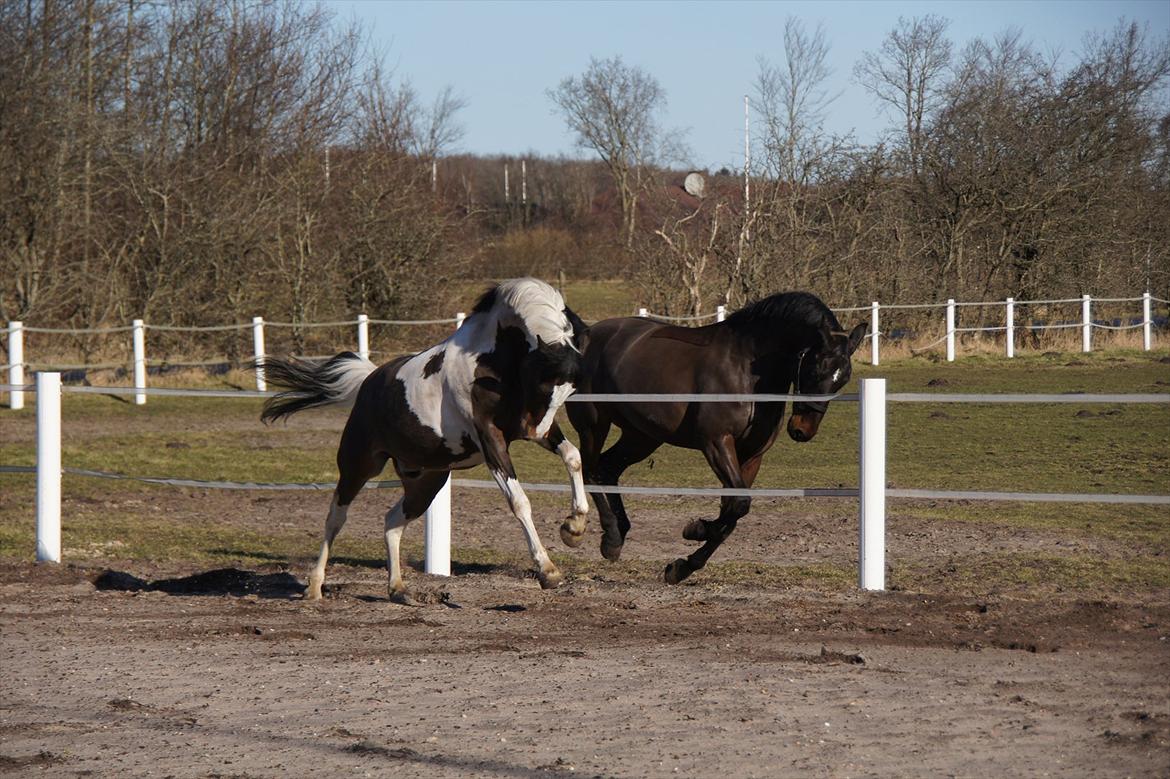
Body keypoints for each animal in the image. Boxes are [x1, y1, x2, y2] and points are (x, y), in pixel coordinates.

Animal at [259, 279, 589, 598]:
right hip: (358, 466)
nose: (534, 431)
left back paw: (398, 589)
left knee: (392, 521)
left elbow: (573, 456)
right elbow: (519, 501)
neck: (492, 360)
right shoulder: (491, 439)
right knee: (335, 518)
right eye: (542, 383)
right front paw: (548, 571)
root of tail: (368, 381)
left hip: (426, 481)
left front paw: (574, 528)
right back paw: (314, 587)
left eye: (569, 391)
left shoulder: (533, 428)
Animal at [561, 291, 865, 582]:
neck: (745, 369)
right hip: (593, 425)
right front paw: (696, 530)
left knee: (607, 469)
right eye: (814, 369)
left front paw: (683, 565)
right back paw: (597, 534)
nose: (802, 430)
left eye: (843, 379)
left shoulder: (751, 455)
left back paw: (618, 533)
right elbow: (738, 504)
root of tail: (586, 335)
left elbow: (733, 510)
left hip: (642, 436)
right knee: (590, 469)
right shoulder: (717, 443)